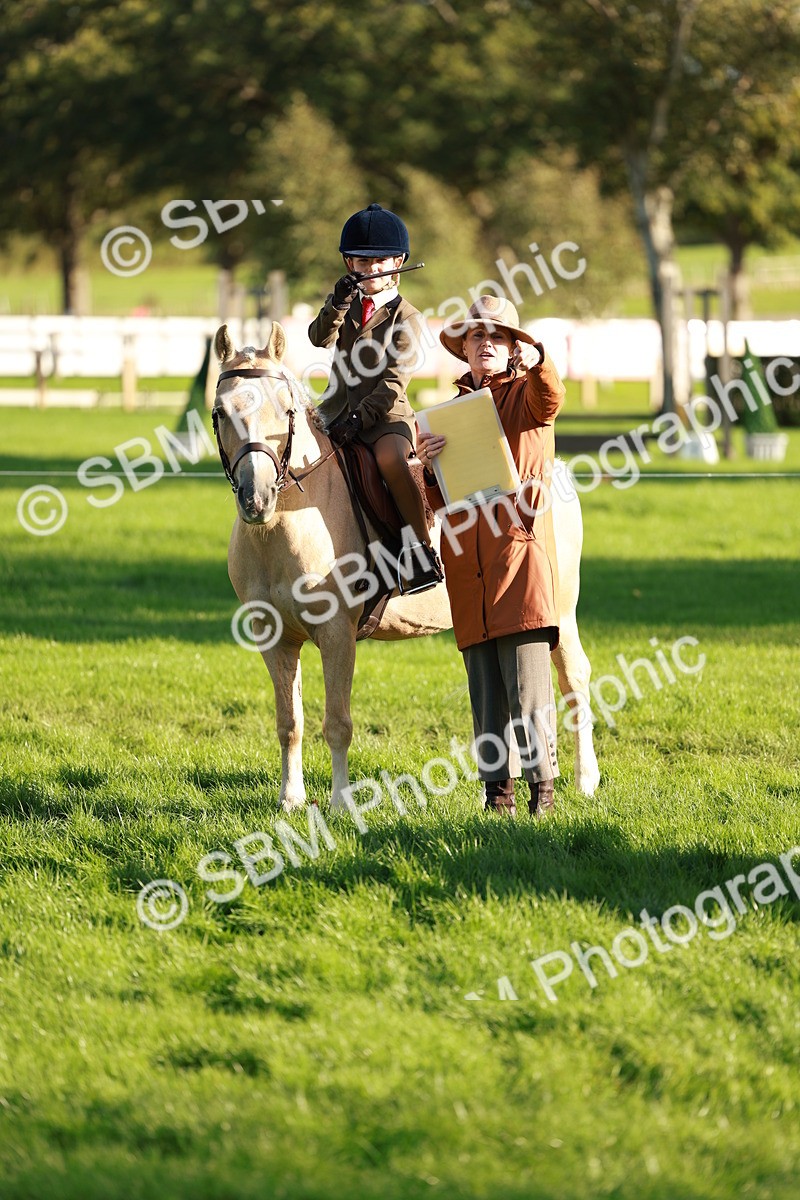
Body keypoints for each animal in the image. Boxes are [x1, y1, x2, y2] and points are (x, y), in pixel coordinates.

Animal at [212, 321, 600, 810]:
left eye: (286, 411)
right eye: (221, 412)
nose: (256, 498)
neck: (284, 522)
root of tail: (554, 469)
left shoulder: (337, 634)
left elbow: (337, 723)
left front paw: (340, 803)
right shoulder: (275, 638)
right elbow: (290, 723)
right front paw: (290, 799)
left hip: (560, 614)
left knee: (574, 681)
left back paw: (585, 780)